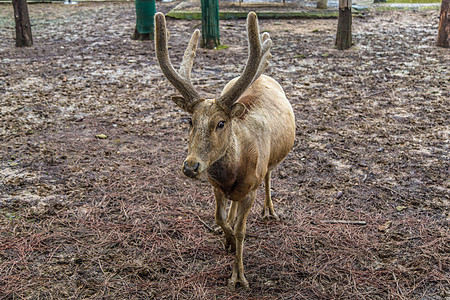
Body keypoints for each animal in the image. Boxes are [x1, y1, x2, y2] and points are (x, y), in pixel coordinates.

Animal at [154, 12, 296, 290]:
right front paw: (225, 238)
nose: (191, 166)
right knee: (232, 205)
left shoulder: (250, 188)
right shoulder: (215, 186)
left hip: (272, 162)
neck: (235, 171)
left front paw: (238, 277)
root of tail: (264, 76)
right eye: (190, 121)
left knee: (269, 176)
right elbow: (220, 217)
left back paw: (270, 211)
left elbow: (242, 231)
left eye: (221, 123)